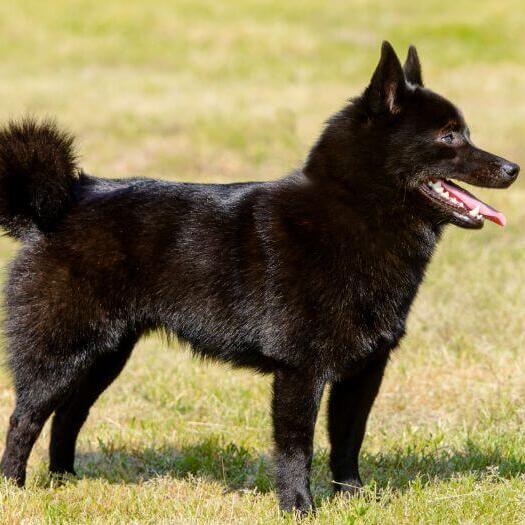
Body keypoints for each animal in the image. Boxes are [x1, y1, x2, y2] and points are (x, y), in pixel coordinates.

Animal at [0, 43, 516, 512]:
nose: (512, 167)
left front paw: (354, 501)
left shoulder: (364, 370)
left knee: (68, 415)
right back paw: (14, 489)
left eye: (465, 132)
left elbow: (348, 442)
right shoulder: (300, 370)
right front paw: (299, 508)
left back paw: (65, 482)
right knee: (25, 418)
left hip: (105, 354)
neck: (352, 214)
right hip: (61, 353)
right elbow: (296, 449)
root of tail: (60, 202)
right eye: (448, 136)